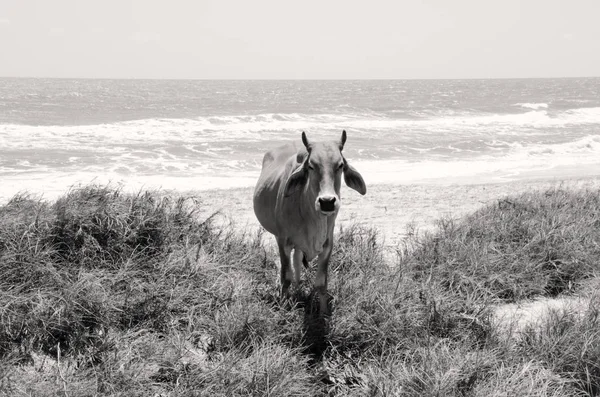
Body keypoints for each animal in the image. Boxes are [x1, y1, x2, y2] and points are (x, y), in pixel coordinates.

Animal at [252, 130, 366, 316]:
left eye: (340, 165)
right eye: (311, 166)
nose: (327, 202)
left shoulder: (327, 245)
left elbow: (321, 283)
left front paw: (323, 313)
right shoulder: (283, 242)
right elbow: (286, 277)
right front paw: (284, 306)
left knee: (298, 261)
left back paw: (299, 290)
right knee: (294, 266)